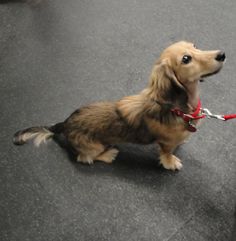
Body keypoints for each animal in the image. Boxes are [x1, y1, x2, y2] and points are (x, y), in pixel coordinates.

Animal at [12, 41, 225, 169]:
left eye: (195, 45)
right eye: (186, 59)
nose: (222, 54)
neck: (178, 108)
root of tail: (64, 124)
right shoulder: (165, 143)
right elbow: (166, 152)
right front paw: (170, 162)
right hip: (93, 147)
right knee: (85, 158)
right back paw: (108, 154)